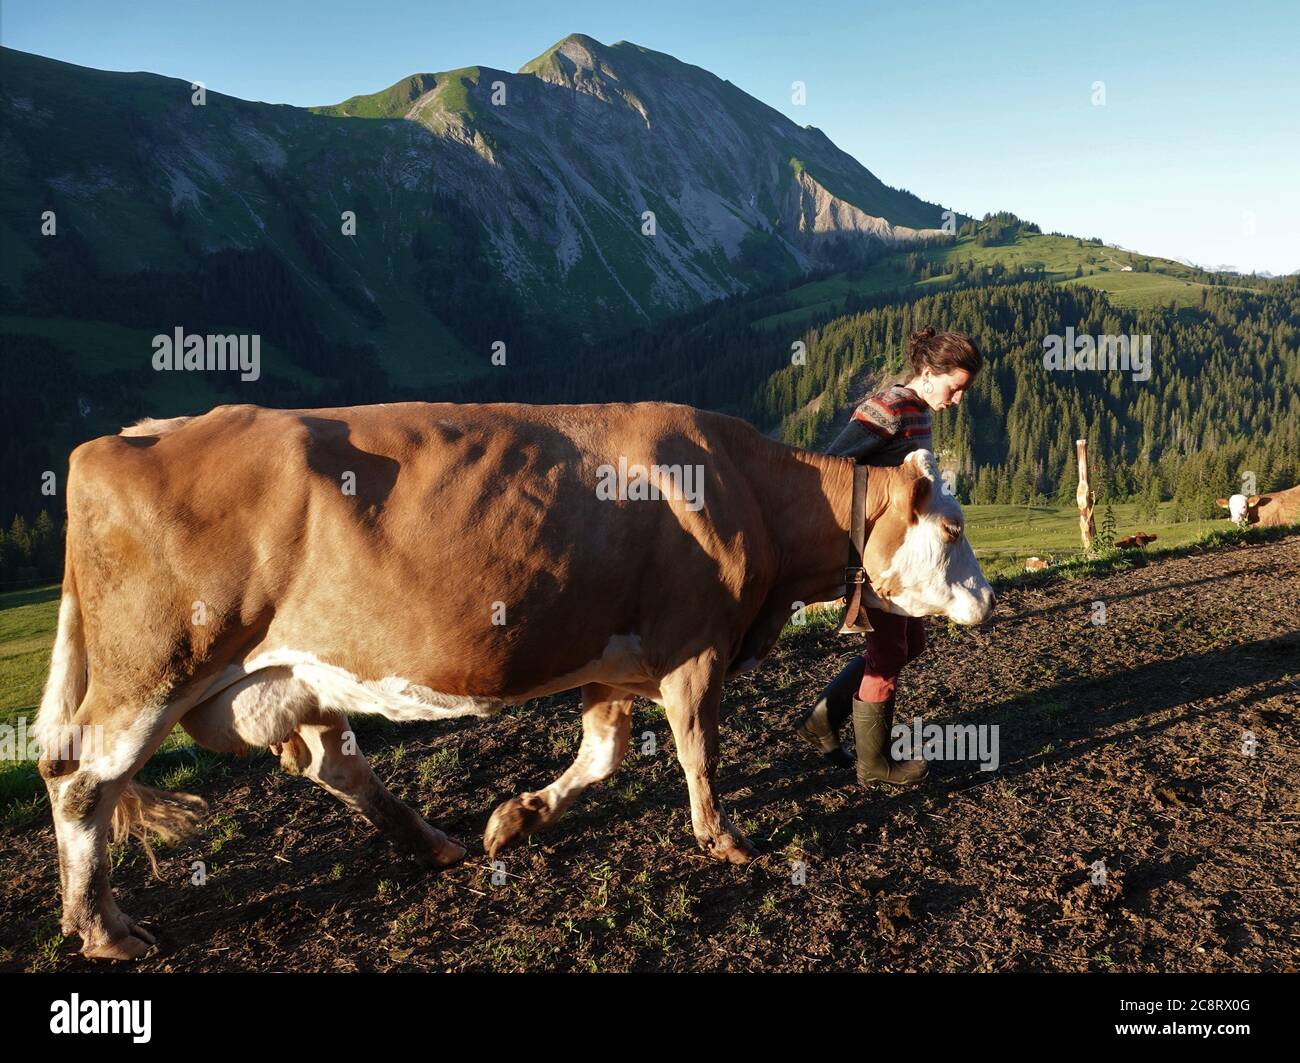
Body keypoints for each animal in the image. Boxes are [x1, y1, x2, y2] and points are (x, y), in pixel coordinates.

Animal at [32, 400, 993, 961]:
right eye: (950, 528)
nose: (985, 597)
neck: (746, 487)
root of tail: (126, 434)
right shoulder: (692, 643)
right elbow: (698, 750)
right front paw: (723, 839)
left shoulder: (616, 656)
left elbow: (604, 754)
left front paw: (513, 819)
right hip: (154, 665)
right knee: (79, 777)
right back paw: (103, 928)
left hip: (286, 672)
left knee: (330, 761)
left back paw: (436, 842)